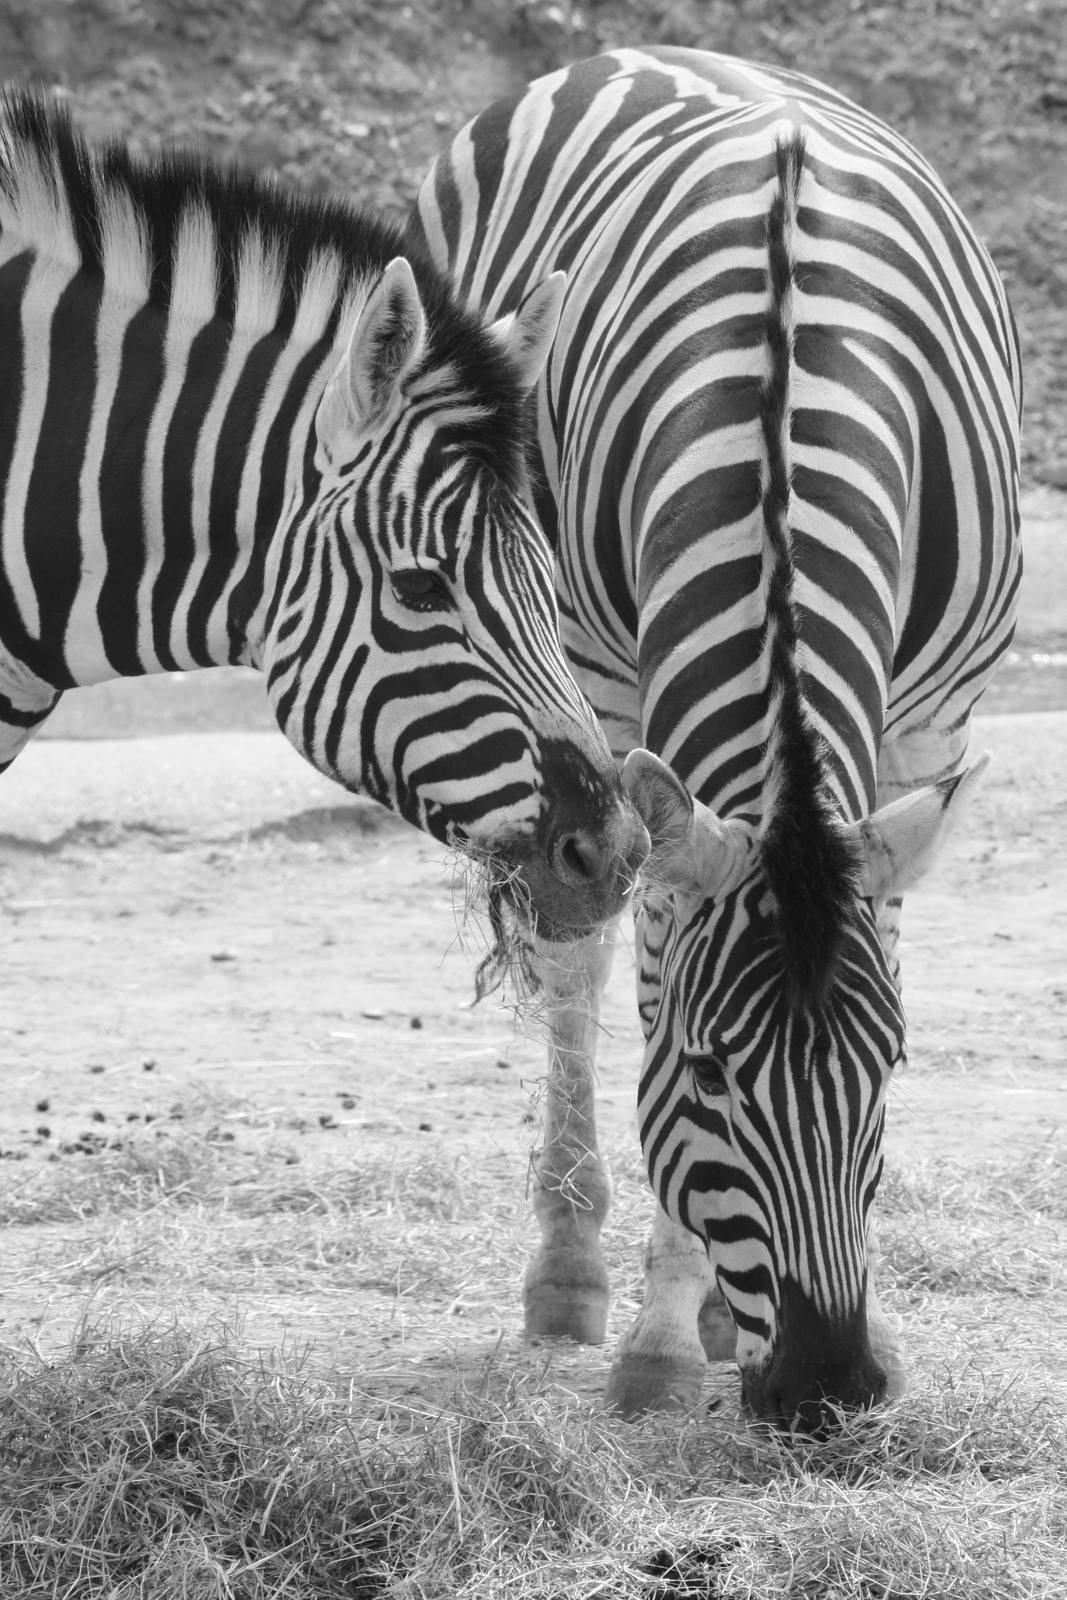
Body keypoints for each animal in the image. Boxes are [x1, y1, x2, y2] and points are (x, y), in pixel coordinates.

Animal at [407, 46, 1022, 1430]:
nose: (827, 1382)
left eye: (889, 1066)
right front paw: (658, 1331)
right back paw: (577, 1275)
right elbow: (634, 971)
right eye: (704, 1079)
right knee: (580, 962)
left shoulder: (924, 725)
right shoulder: (606, 699)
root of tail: (632, 52)